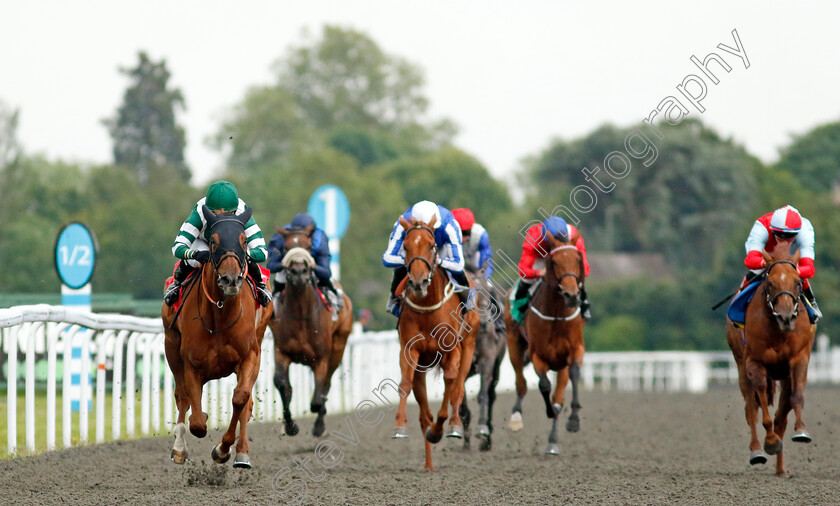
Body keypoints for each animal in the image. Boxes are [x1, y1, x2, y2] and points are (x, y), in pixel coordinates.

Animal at [162, 208, 272, 468]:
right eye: (213, 241)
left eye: (244, 241)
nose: (231, 279)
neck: (220, 315)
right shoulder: (191, 364)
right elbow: (197, 422)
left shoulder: (249, 356)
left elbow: (241, 399)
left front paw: (223, 449)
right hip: (171, 346)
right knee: (182, 397)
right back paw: (179, 448)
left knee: (246, 403)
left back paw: (242, 453)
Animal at [270, 223, 352, 436]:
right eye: (286, 248)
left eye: (308, 247)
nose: (298, 272)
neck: (301, 313)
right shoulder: (281, 351)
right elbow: (283, 385)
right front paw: (290, 426)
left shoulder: (321, 358)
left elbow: (318, 395)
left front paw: (318, 421)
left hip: (338, 348)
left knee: (327, 384)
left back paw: (319, 425)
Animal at [388, 215, 476, 472]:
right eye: (406, 247)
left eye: (431, 246)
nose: (418, 281)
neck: (427, 306)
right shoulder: (409, 350)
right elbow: (404, 384)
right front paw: (399, 426)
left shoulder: (452, 351)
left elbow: (451, 383)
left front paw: (443, 428)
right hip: (422, 368)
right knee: (424, 414)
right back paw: (429, 464)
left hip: (468, 349)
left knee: (458, 388)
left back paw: (453, 424)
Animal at [506, 229, 584, 454]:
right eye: (555, 261)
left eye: (578, 259)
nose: (571, 295)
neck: (556, 315)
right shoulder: (537, 355)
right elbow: (544, 385)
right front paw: (550, 411)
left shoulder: (575, 350)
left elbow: (573, 375)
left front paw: (573, 420)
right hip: (513, 345)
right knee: (521, 384)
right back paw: (516, 417)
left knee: (559, 392)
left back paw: (553, 441)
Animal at [724, 247, 816, 476]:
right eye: (770, 283)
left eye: (798, 282)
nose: (786, 317)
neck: (778, 331)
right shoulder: (755, 363)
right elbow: (761, 409)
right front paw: (770, 442)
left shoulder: (798, 360)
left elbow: (795, 399)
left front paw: (801, 431)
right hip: (741, 367)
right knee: (750, 409)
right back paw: (757, 451)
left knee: (781, 415)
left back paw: (780, 469)